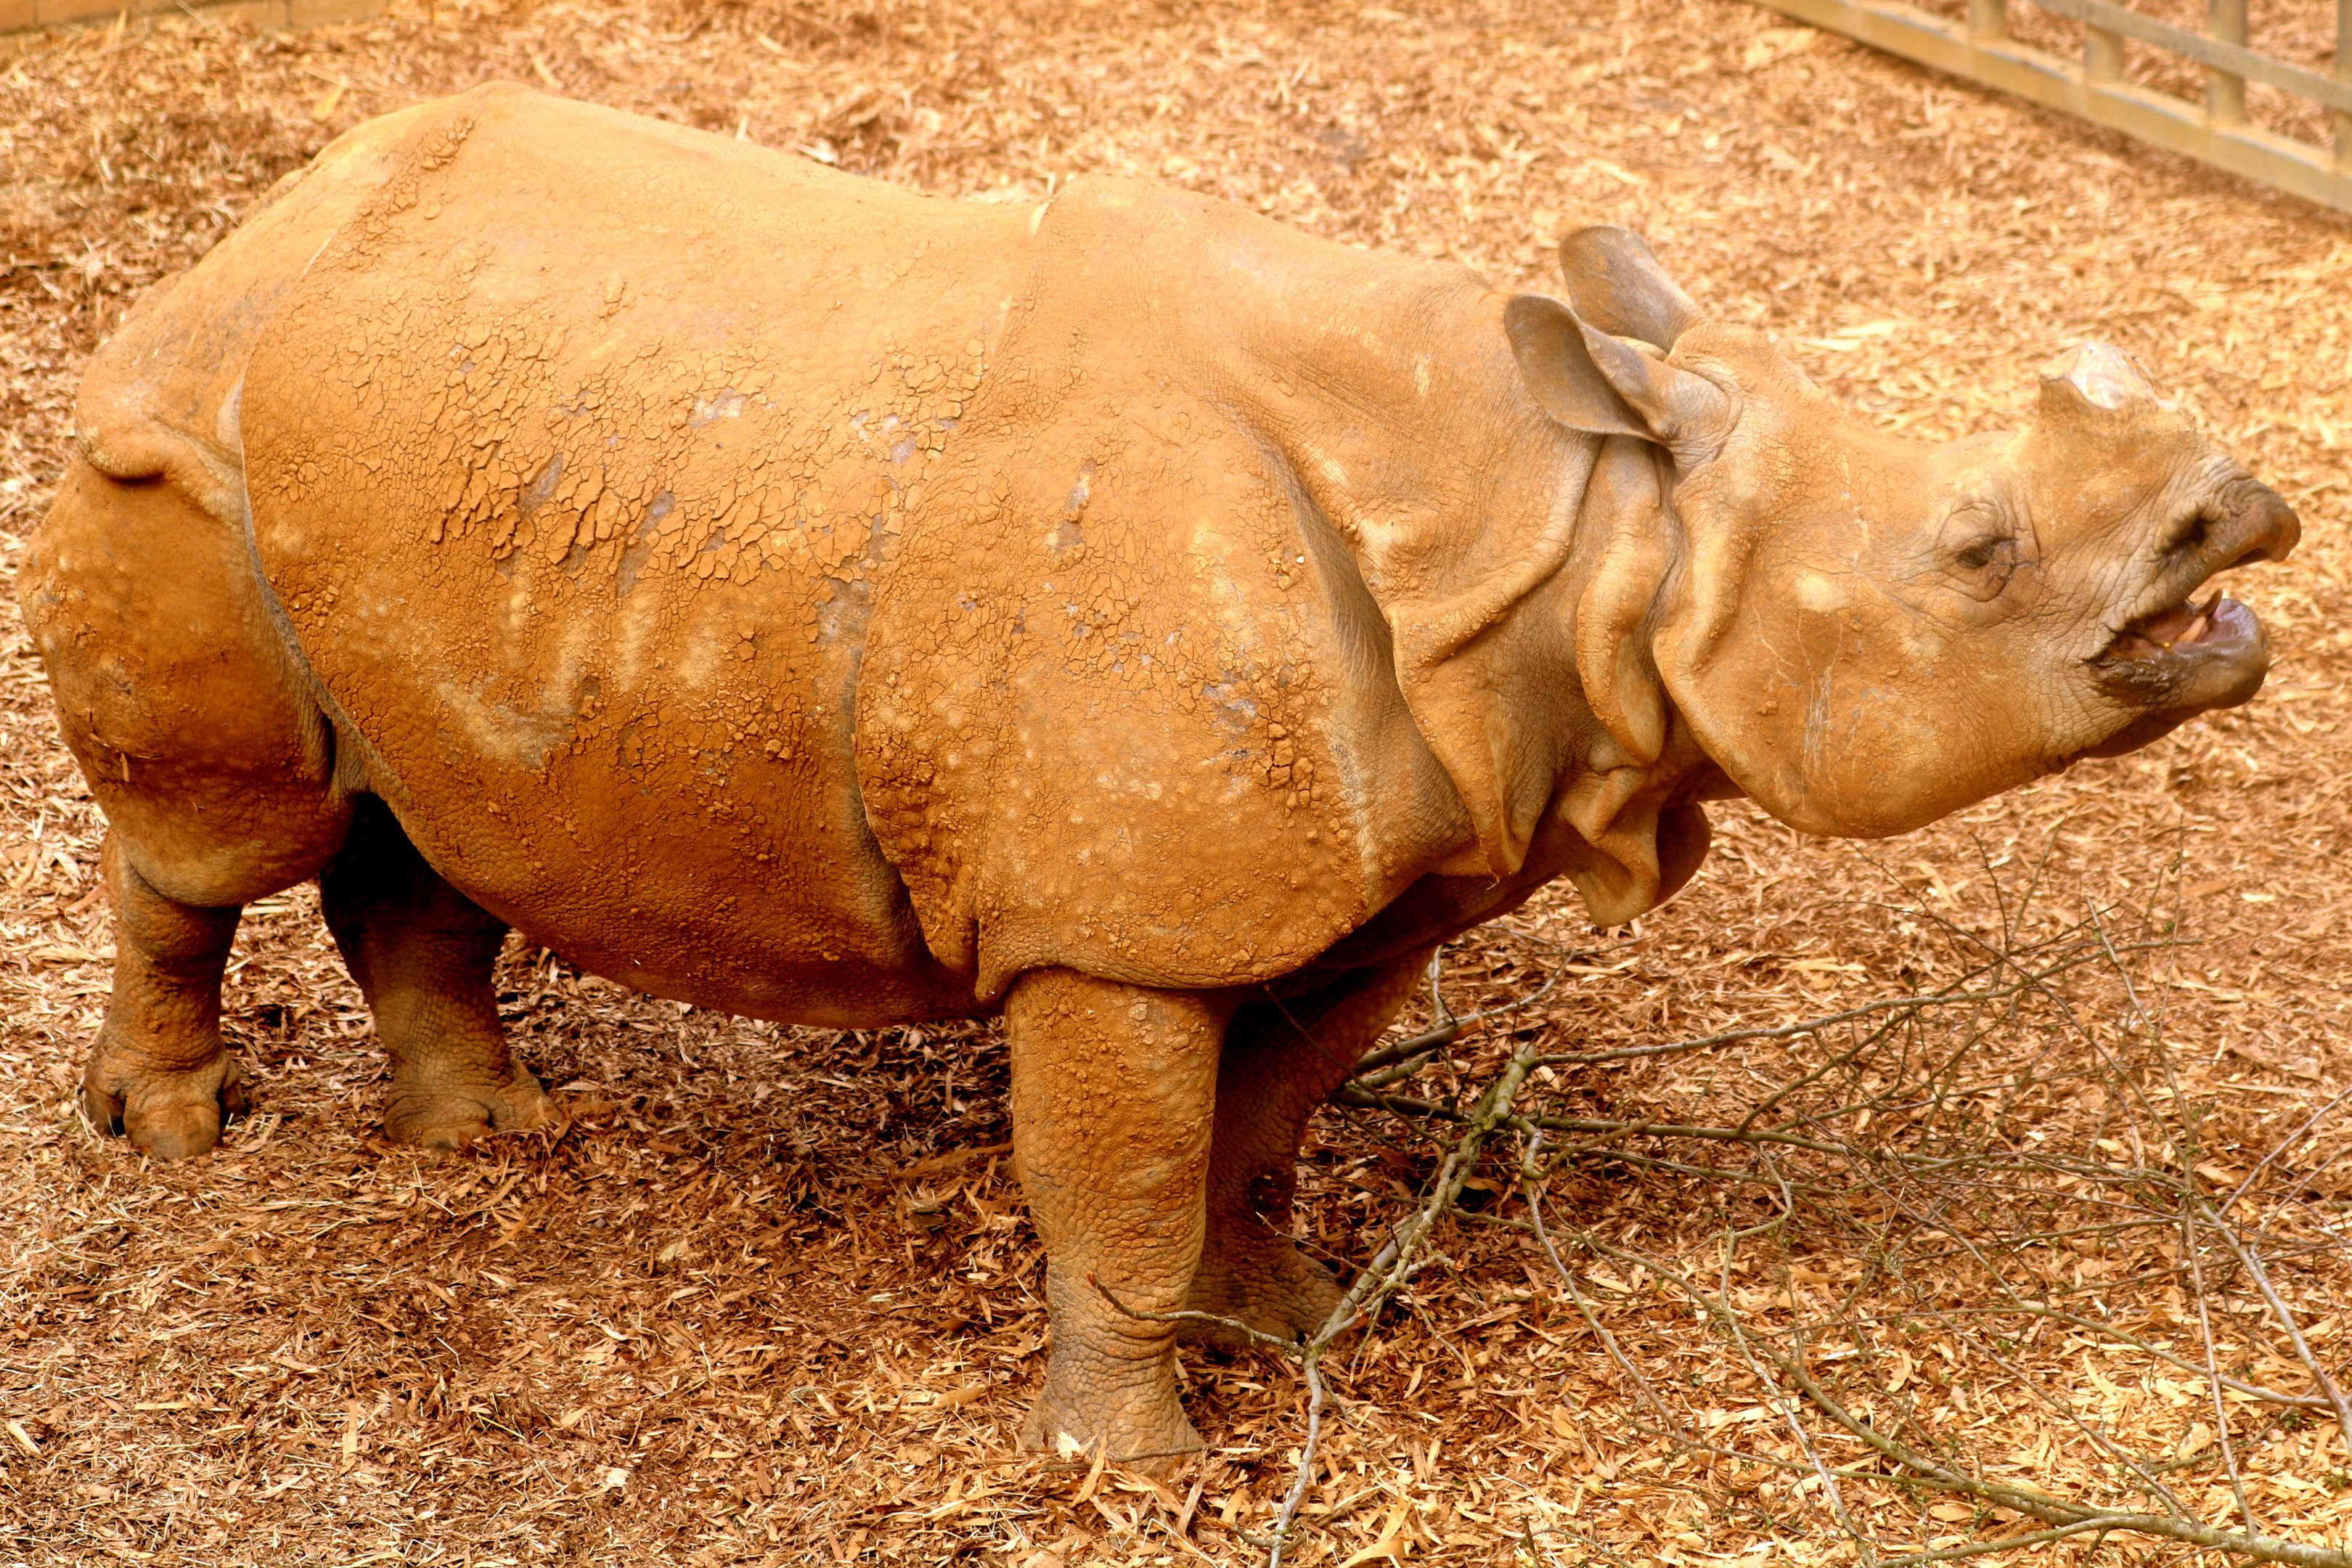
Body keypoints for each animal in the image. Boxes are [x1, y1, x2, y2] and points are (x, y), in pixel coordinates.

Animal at [25, 84, 2298, 1465]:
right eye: (1975, 553)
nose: (2236, 519)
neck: (1575, 533)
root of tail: (241, 232)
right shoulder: (1111, 926)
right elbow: (1115, 1175)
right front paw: (1127, 1461)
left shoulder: (1388, 874)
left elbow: (1263, 1119)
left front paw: (1290, 1323)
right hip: (176, 439)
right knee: (223, 829)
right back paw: (178, 1137)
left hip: (437, 441)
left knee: (417, 802)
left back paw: (489, 1137)